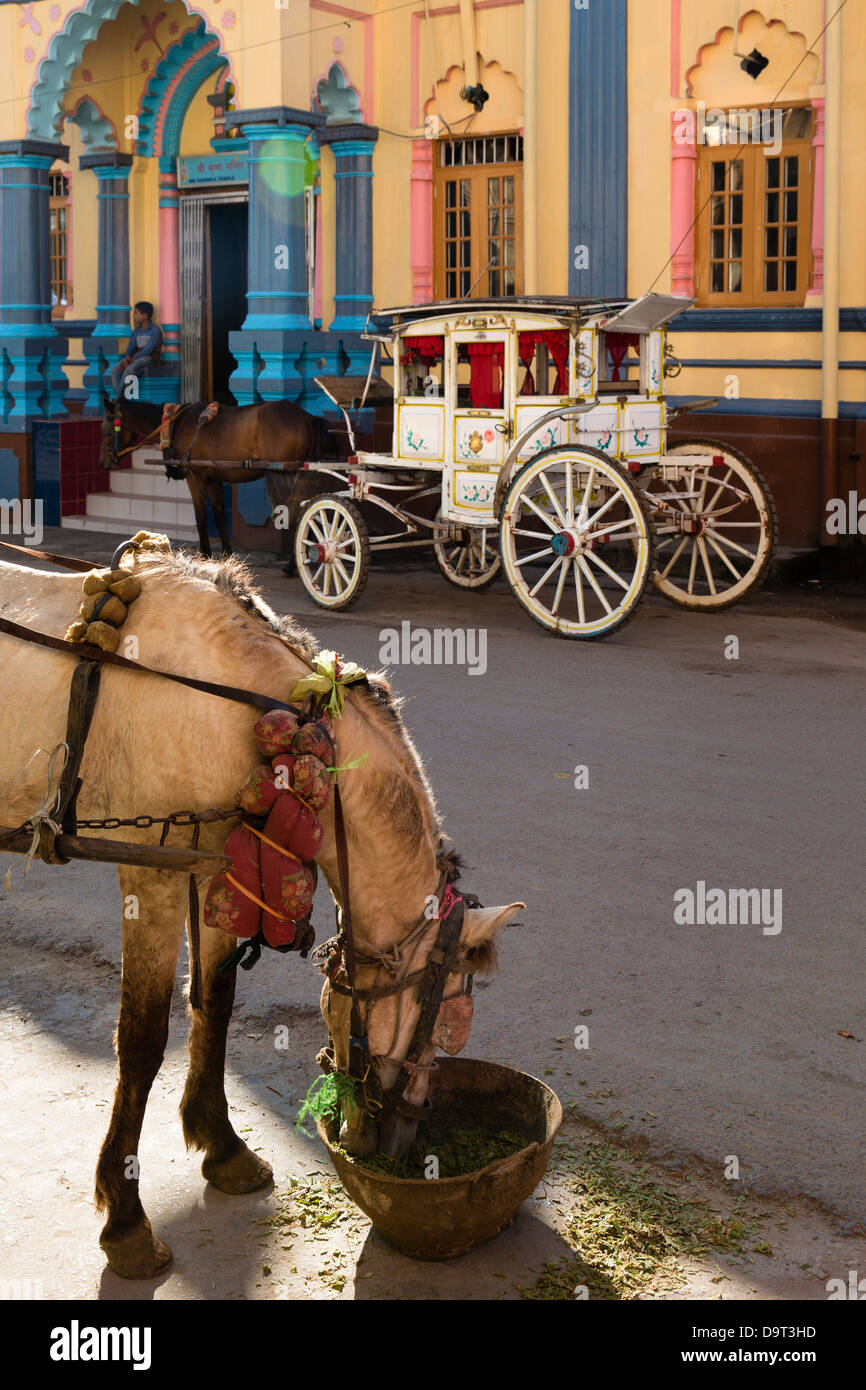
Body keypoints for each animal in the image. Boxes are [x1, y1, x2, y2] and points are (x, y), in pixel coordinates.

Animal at [0, 548, 523, 1278]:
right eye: (441, 1014)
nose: (400, 1131)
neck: (230, 698)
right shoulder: (153, 872)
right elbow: (142, 1041)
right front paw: (126, 1221)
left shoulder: (222, 867)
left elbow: (214, 1006)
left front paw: (222, 1147)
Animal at [101, 395, 335, 559]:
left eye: (107, 427)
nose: (104, 463)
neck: (175, 423)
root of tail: (307, 417)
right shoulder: (214, 479)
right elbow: (220, 515)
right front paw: (227, 553)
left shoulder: (195, 476)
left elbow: (201, 518)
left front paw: (205, 553)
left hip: (283, 473)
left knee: (299, 512)